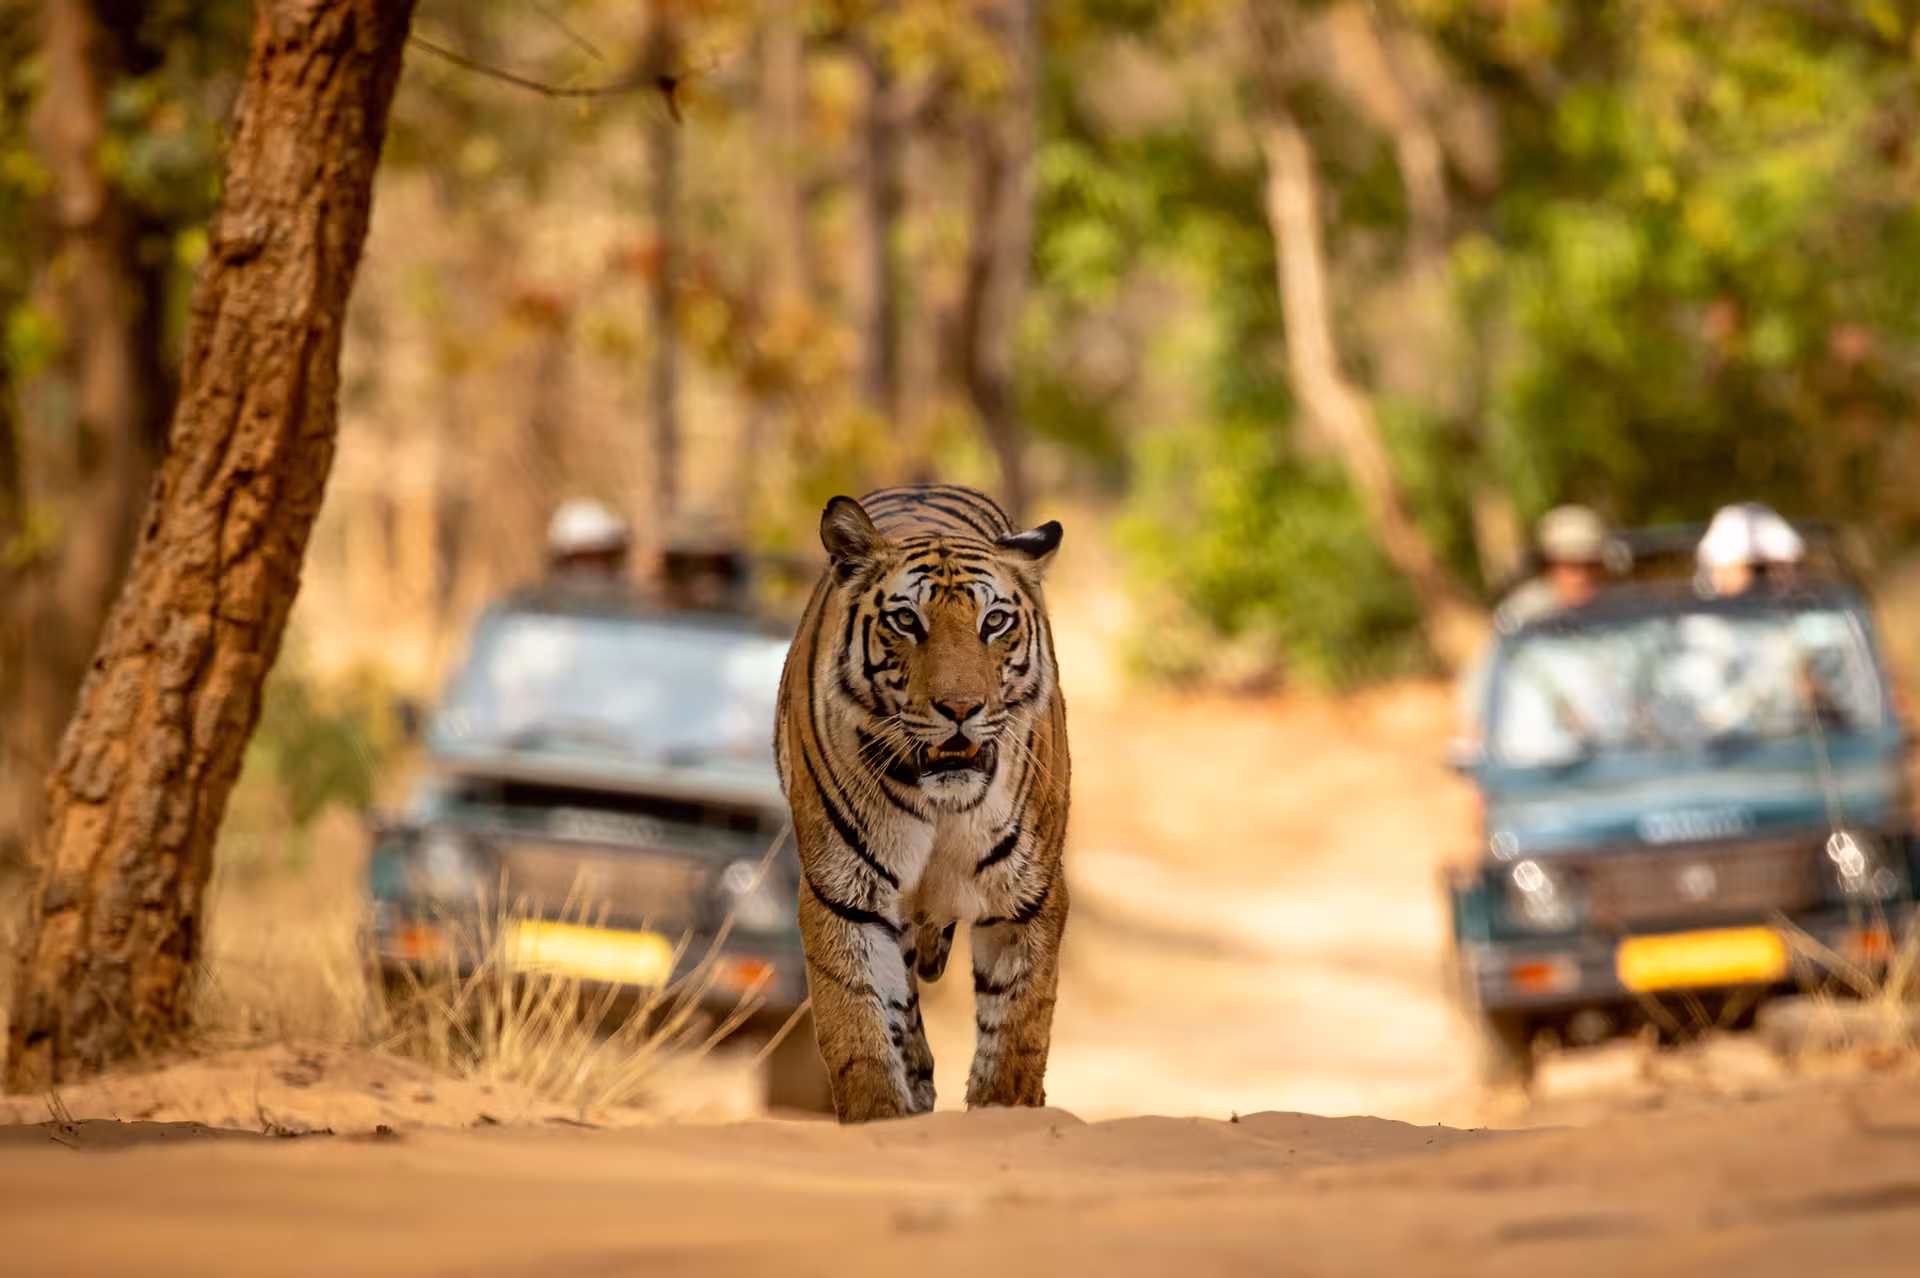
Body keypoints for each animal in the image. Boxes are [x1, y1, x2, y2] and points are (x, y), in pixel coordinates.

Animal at [772, 483, 1071, 1123]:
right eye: (907, 620)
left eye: (994, 621)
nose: (960, 708)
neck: (942, 806)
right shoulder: (845, 896)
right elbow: (857, 1027)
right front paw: (880, 1115)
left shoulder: (1027, 898)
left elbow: (1018, 1030)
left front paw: (1005, 1111)